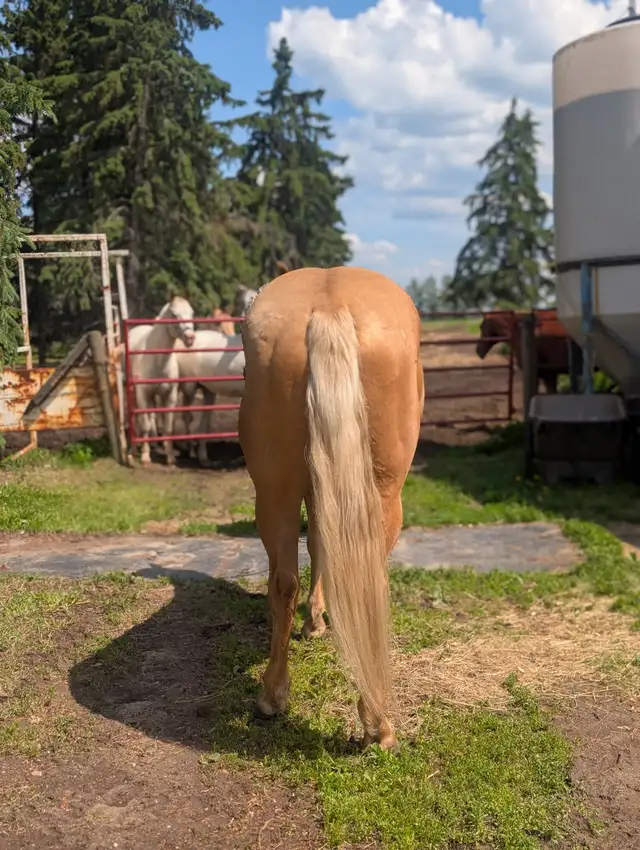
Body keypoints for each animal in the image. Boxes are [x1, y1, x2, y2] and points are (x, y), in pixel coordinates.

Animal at [130, 296, 195, 465]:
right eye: (174, 314)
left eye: (192, 312)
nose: (190, 338)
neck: (157, 359)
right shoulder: (142, 394)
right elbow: (145, 424)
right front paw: (145, 456)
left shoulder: (170, 396)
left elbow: (168, 427)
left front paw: (170, 456)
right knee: (140, 418)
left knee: (154, 415)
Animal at [174, 329, 245, 467]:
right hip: (189, 387)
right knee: (185, 416)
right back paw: (191, 451)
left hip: (206, 390)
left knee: (201, 422)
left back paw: (202, 457)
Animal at [239, 266, 424, 749]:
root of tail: (328, 307)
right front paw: (318, 621)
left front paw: (315, 621)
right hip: (383, 496)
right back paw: (377, 724)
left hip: (275, 492)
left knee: (283, 583)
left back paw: (271, 698)